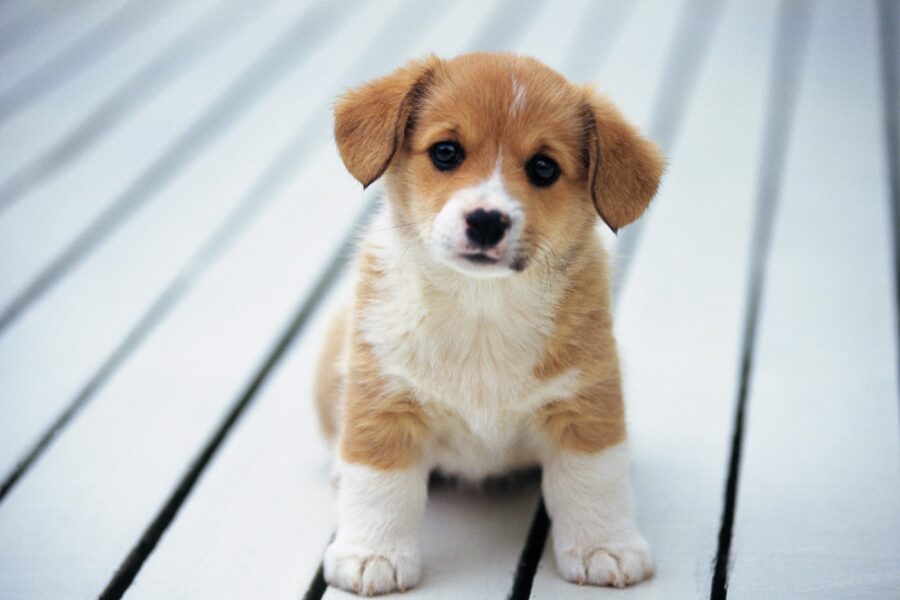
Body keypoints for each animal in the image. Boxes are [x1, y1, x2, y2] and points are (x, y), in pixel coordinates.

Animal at [314, 52, 660, 596]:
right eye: (446, 152)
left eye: (543, 167)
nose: (485, 221)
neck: (481, 305)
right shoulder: (385, 399)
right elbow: (378, 486)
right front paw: (372, 554)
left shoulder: (586, 403)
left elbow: (593, 482)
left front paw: (605, 546)